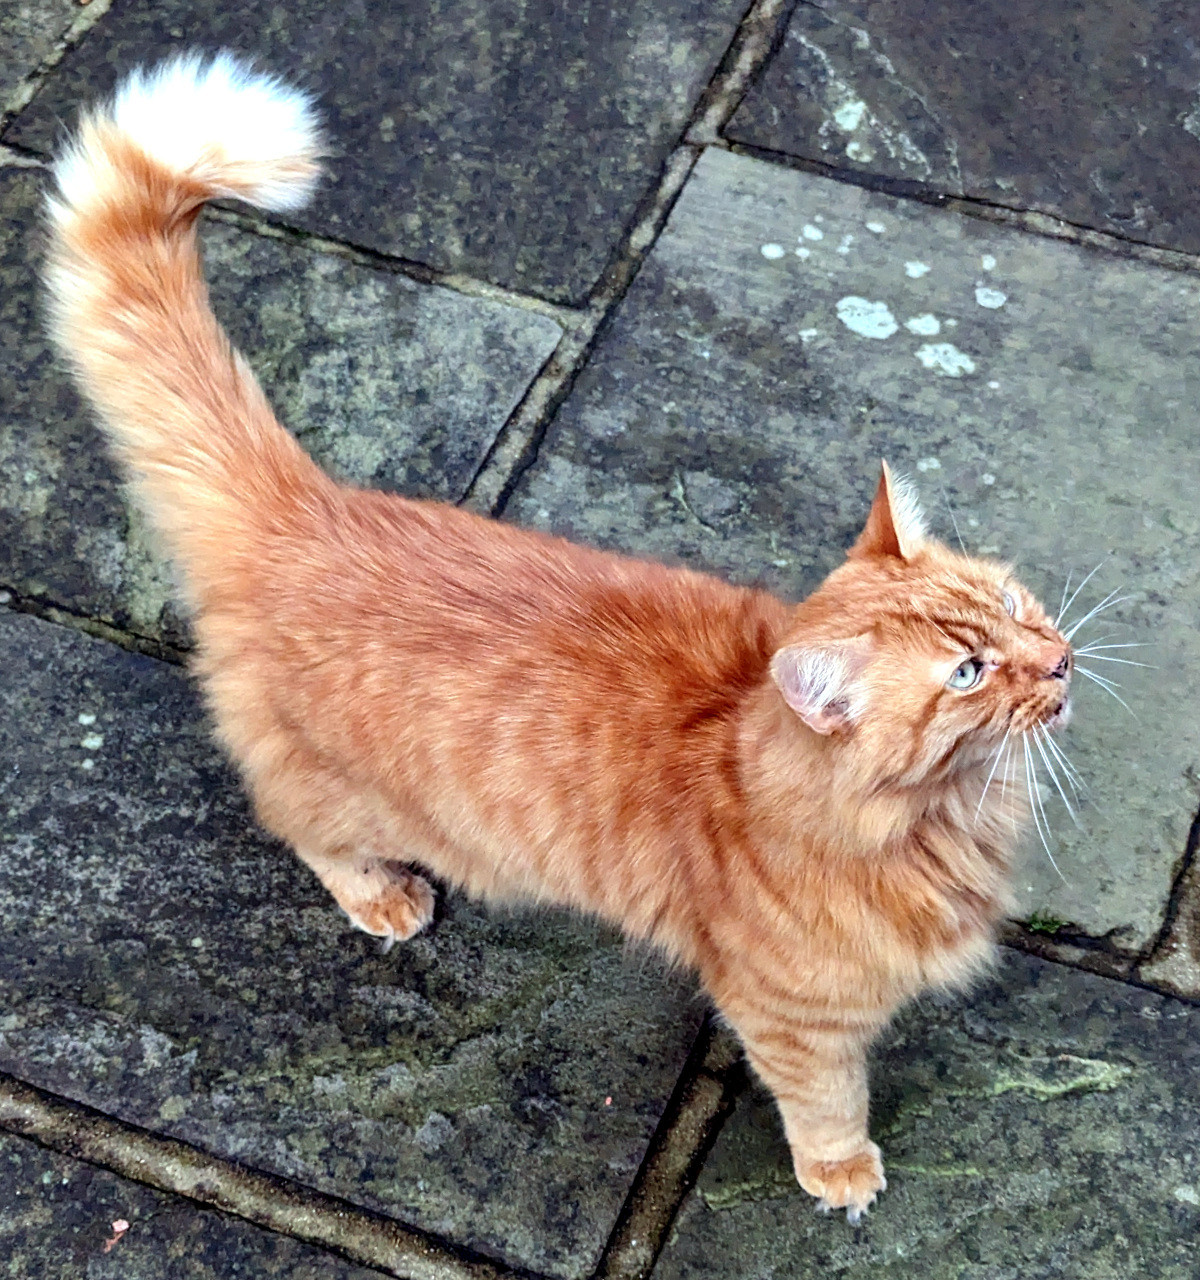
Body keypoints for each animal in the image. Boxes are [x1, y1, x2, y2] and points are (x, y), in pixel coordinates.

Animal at [42, 57, 1069, 1218]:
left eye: (1014, 609)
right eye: (970, 672)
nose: (1062, 660)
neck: (935, 821)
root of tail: (307, 509)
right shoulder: (792, 1016)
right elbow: (827, 1099)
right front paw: (841, 1170)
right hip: (353, 799)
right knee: (297, 823)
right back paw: (381, 894)